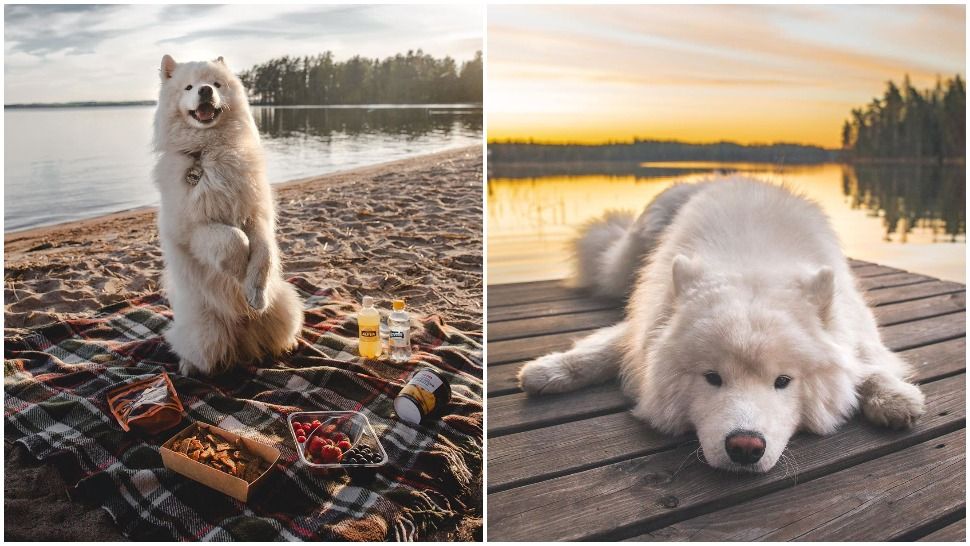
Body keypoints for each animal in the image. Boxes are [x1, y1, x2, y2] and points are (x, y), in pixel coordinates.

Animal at [520, 178, 928, 472]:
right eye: (712, 378)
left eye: (783, 381)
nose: (745, 447)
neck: (754, 263)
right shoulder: (646, 320)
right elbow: (605, 347)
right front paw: (549, 370)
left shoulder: (857, 332)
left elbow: (865, 365)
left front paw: (893, 397)